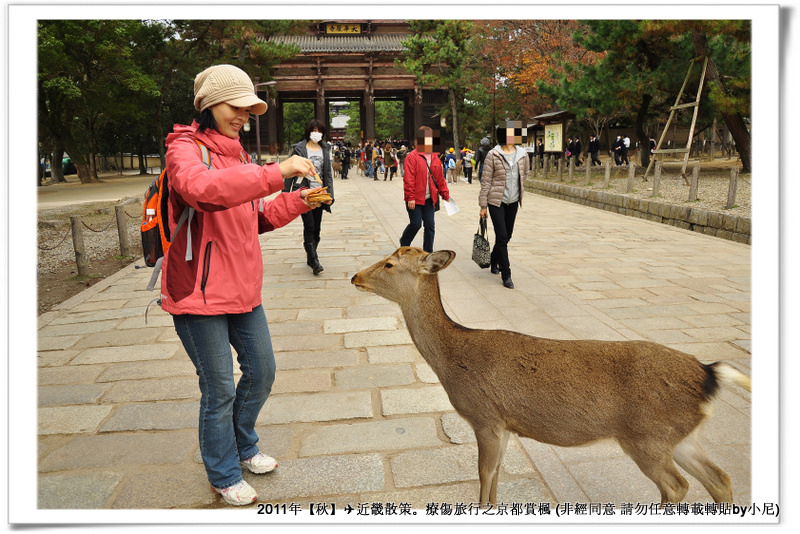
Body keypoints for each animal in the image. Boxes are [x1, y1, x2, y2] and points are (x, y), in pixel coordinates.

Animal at [350, 247, 752, 506]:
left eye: (389, 264)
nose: (354, 276)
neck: (453, 361)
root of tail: (709, 374)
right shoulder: (506, 424)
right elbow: (496, 475)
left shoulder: (485, 416)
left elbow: (484, 474)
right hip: (680, 436)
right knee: (720, 479)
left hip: (647, 437)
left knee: (677, 487)